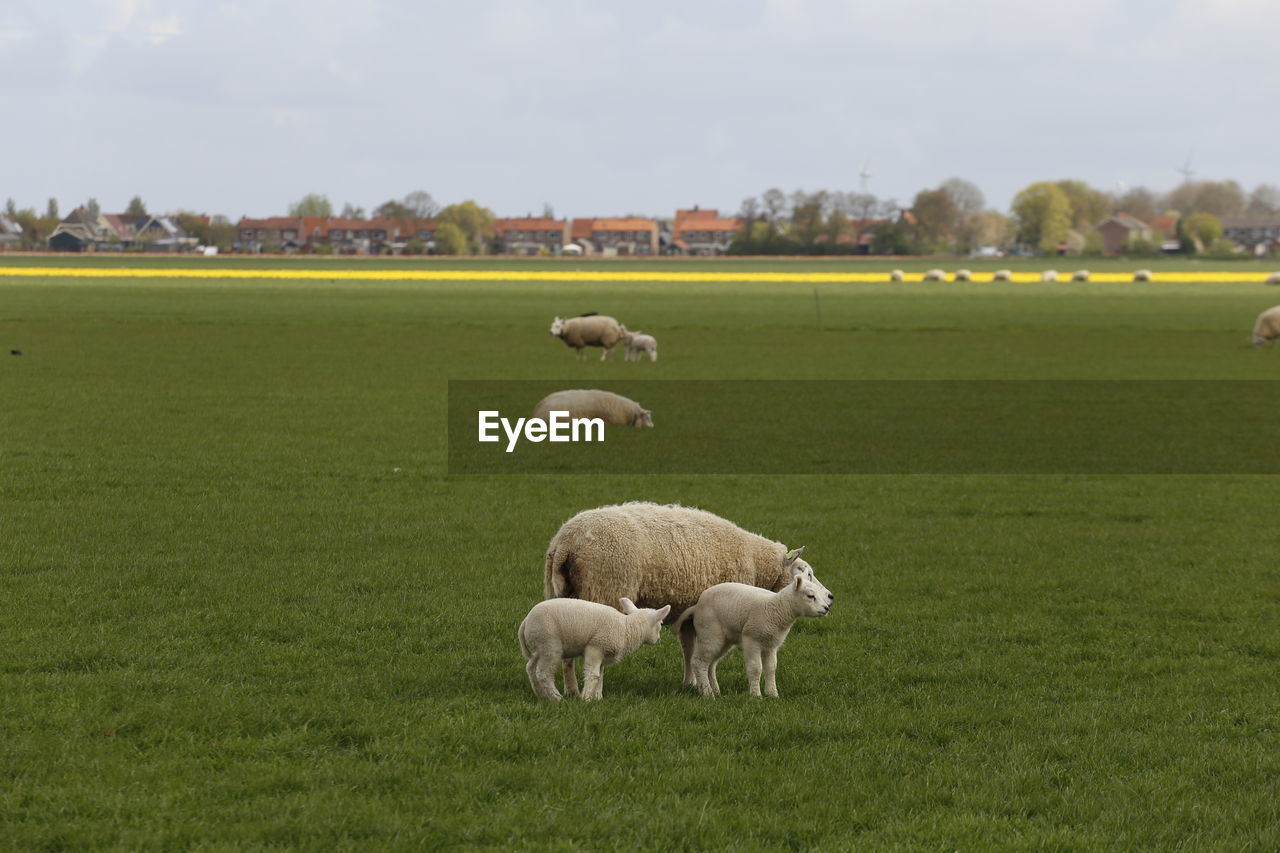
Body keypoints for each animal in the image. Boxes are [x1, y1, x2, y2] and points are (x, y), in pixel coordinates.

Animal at [517, 594, 675, 701]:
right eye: (660, 624)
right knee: (543, 673)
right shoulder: (595, 647)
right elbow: (593, 674)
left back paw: (541, 695)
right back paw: (556, 698)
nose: (658, 639)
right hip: (550, 644)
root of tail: (525, 621)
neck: (626, 628)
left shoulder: (604, 653)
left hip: (541, 646)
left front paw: (598, 697)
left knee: (530, 667)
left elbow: (601, 675)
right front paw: (586, 698)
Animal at [675, 555, 834, 696]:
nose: (826, 608)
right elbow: (755, 668)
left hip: (723, 639)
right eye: (810, 596)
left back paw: (715, 690)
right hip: (709, 633)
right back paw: (708, 693)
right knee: (699, 662)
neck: (777, 608)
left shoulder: (771, 644)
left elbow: (771, 669)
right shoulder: (752, 639)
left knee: (711, 664)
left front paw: (772, 694)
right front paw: (756, 695)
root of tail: (696, 606)